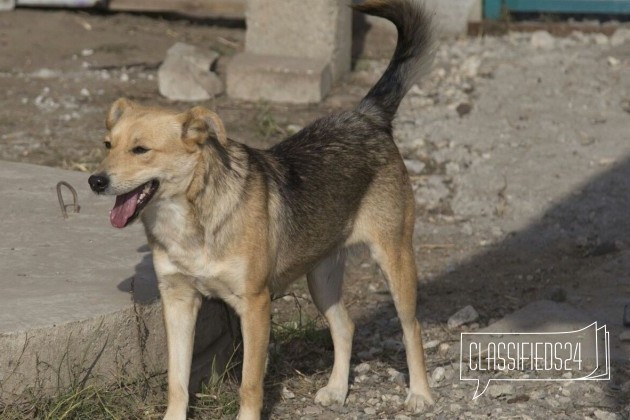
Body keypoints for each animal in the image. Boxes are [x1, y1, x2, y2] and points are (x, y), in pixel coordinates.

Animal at [87, 0, 434, 416]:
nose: (95, 181)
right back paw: (337, 389)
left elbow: (250, 384)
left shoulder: (254, 305)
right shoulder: (178, 300)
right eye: (108, 145)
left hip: (394, 260)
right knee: (345, 325)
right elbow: (177, 380)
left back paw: (420, 394)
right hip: (321, 277)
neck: (191, 218)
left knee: (412, 328)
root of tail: (367, 115)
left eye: (141, 150)